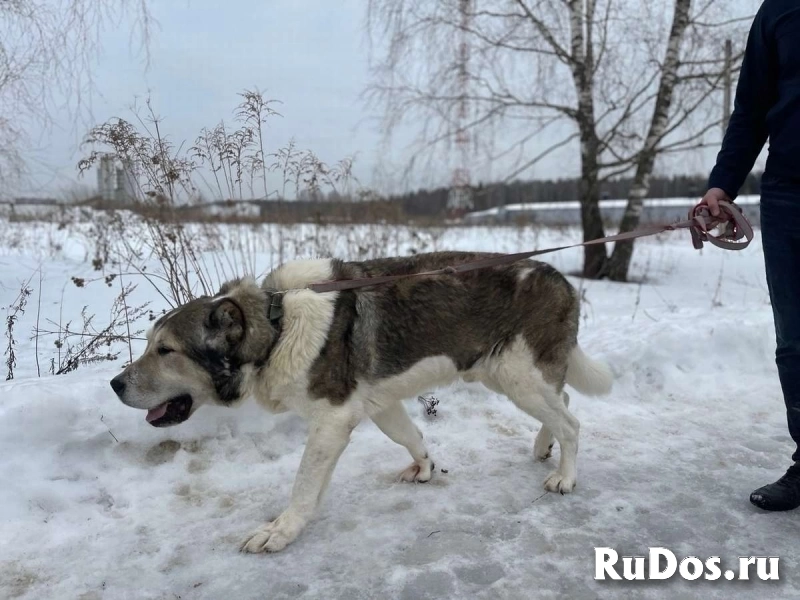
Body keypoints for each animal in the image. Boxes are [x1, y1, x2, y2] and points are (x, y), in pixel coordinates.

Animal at [111, 252, 612, 552]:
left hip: (519, 377)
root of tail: (561, 279)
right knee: (565, 399)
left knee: (572, 422)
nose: (115, 385)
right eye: (151, 344)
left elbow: (303, 486)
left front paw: (282, 530)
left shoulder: (332, 422)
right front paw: (425, 467)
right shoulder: (378, 405)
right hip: (505, 375)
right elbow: (411, 435)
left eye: (166, 351)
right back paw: (544, 446)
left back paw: (565, 475)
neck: (277, 327)